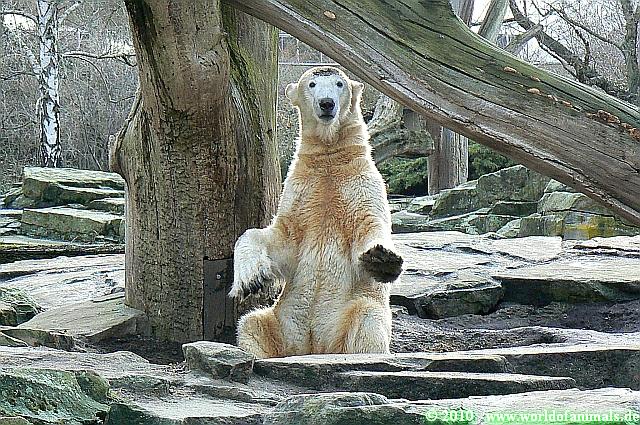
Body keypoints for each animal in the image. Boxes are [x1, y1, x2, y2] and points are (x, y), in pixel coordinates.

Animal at [228, 66, 403, 359]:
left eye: (339, 83)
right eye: (311, 84)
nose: (327, 103)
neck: (329, 158)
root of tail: (314, 347)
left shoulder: (363, 182)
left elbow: (369, 224)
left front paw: (382, 258)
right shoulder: (300, 189)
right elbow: (278, 238)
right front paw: (252, 279)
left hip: (348, 315)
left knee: (367, 319)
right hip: (280, 323)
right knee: (252, 323)